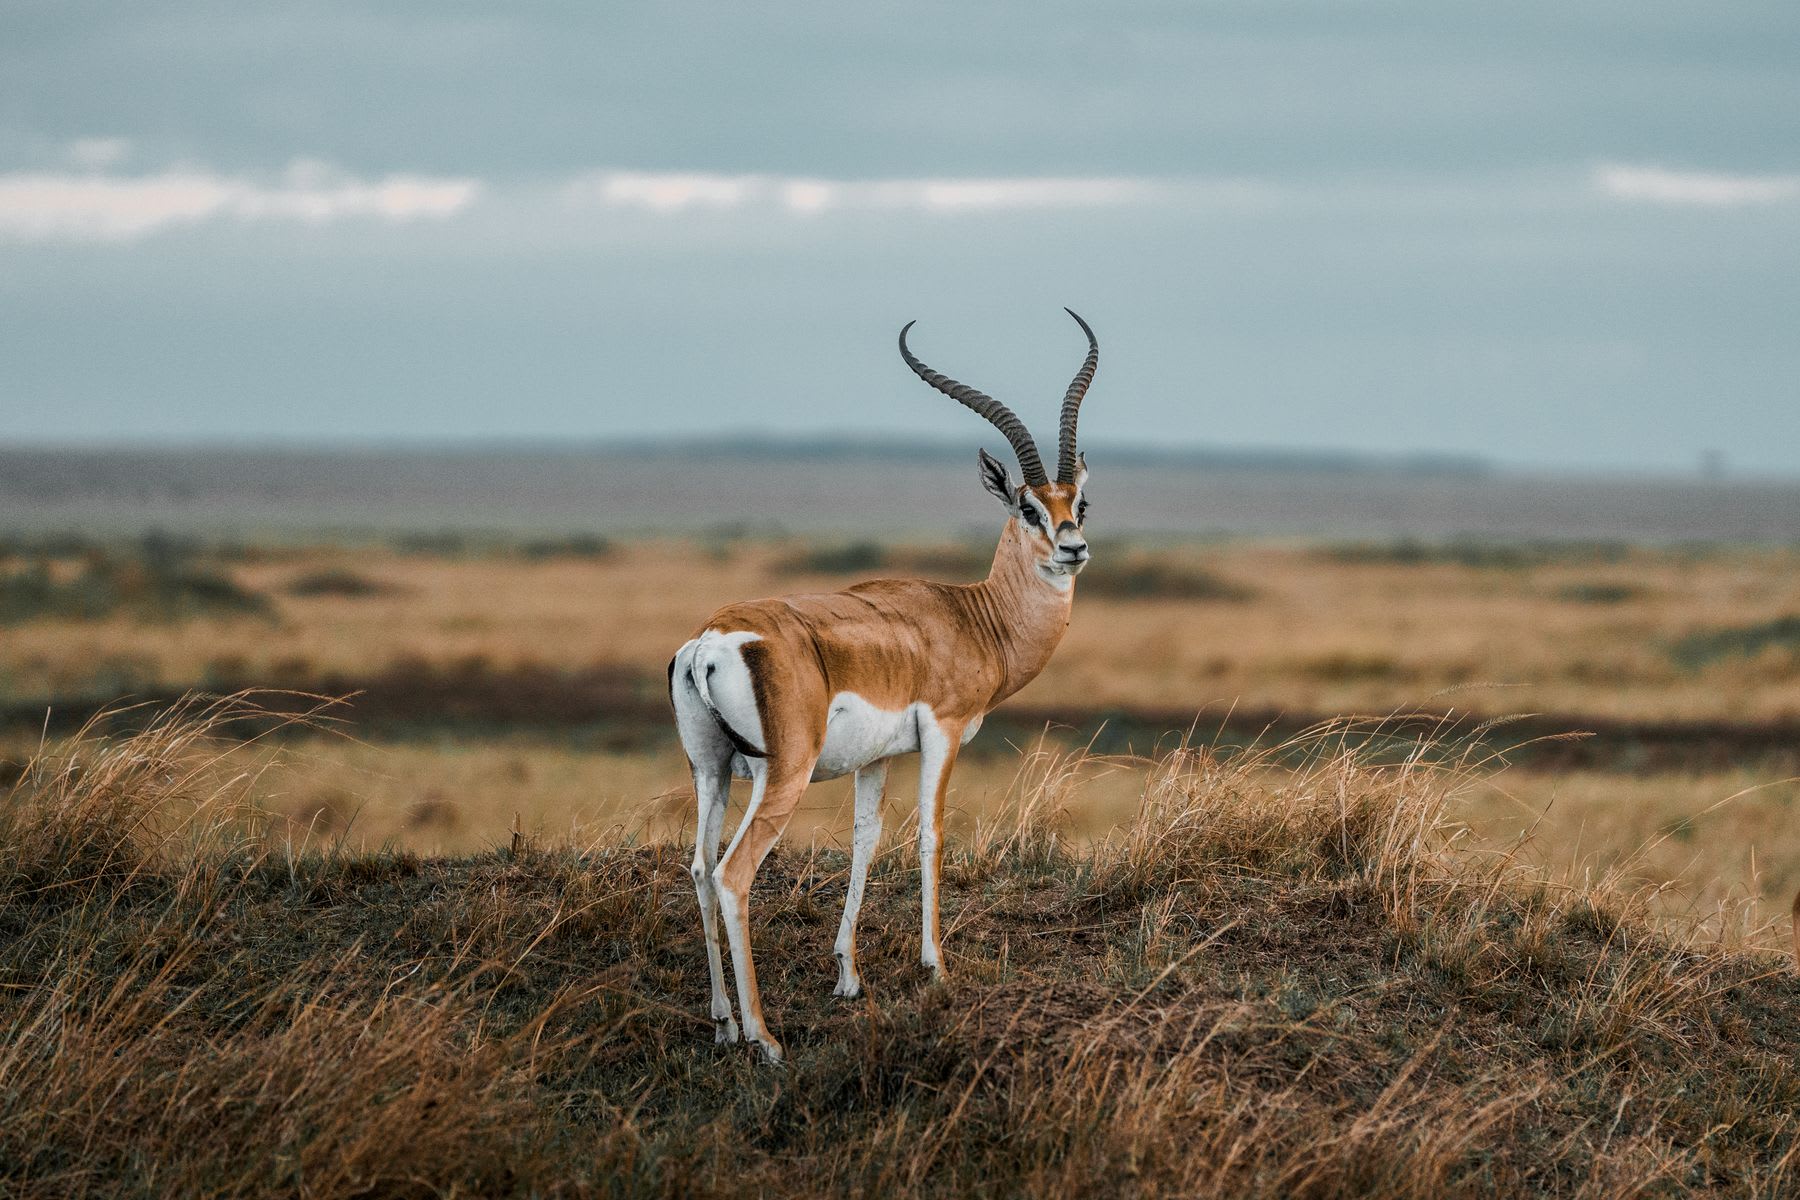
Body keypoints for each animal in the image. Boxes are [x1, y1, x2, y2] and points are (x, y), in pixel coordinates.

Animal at [668, 310, 1100, 1062]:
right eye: (1027, 508)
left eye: (1081, 501)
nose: (1072, 549)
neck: (970, 617)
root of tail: (711, 641)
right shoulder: (944, 732)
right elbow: (930, 834)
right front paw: (936, 966)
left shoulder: (872, 761)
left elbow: (866, 840)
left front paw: (848, 977)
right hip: (781, 774)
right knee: (731, 873)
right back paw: (764, 1038)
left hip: (711, 770)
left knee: (698, 867)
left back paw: (722, 1023)